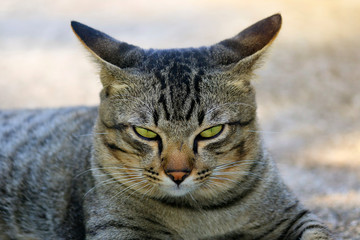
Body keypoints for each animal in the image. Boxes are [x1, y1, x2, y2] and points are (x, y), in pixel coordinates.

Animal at [0, 13, 334, 240]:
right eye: (146, 133)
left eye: (211, 131)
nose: (177, 173)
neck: (200, 213)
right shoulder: (118, 230)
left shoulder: (292, 216)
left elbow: (320, 233)